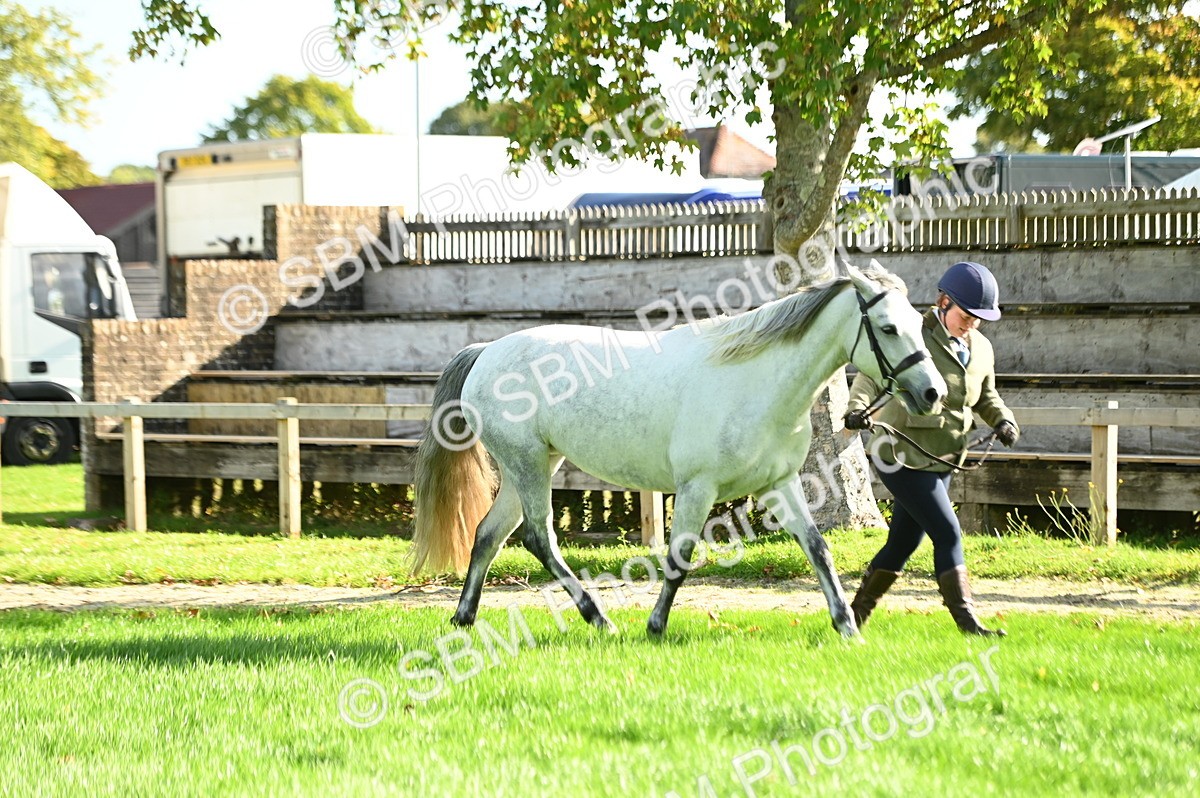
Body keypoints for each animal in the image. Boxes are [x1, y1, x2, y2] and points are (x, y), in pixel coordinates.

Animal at [409, 261, 947, 638]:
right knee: (539, 538)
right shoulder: (696, 488)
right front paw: (655, 626)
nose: (933, 393)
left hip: (535, 463)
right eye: (888, 327)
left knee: (488, 534)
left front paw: (846, 625)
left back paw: (464, 617)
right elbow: (679, 556)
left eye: (919, 323)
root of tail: (486, 351)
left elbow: (817, 547)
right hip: (527, 465)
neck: (756, 381)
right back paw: (597, 617)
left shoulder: (779, 484)